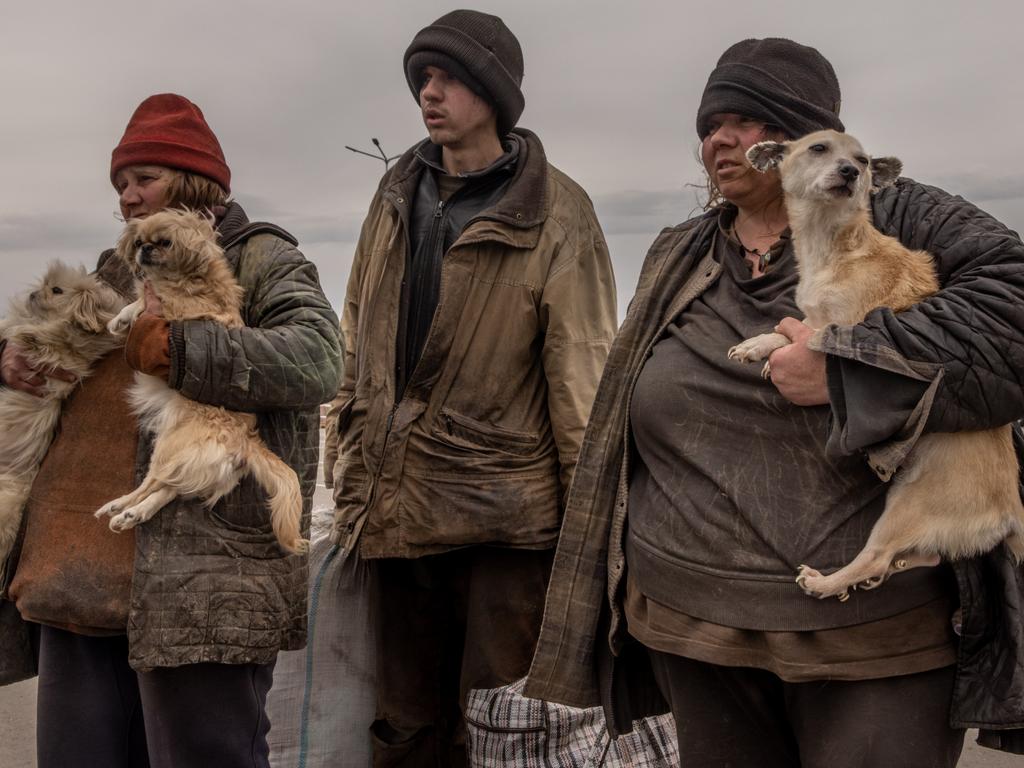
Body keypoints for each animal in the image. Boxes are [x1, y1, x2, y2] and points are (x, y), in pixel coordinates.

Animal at [729, 131, 1024, 602]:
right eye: (819, 149)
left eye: (863, 160)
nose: (851, 172)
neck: (833, 244)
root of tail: (1011, 514)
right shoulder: (816, 314)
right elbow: (791, 325)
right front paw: (758, 344)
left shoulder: (843, 324)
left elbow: (806, 335)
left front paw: (769, 348)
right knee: (924, 556)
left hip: (904, 507)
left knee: (877, 555)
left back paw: (826, 582)